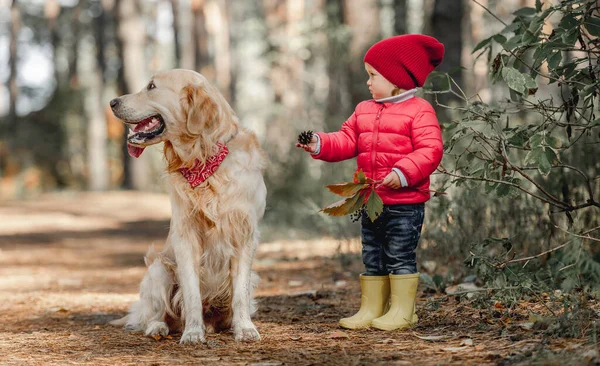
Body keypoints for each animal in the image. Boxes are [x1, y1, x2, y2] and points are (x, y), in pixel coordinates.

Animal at [108, 68, 268, 344]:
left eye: (151, 86)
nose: (112, 102)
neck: (204, 157)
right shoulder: (186, 235)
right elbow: (191, 292)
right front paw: (193, 332)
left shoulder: (245, 234)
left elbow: (240, 293)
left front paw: (245, 328)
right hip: (159, 269)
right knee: (155, 315)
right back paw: (158, 328)